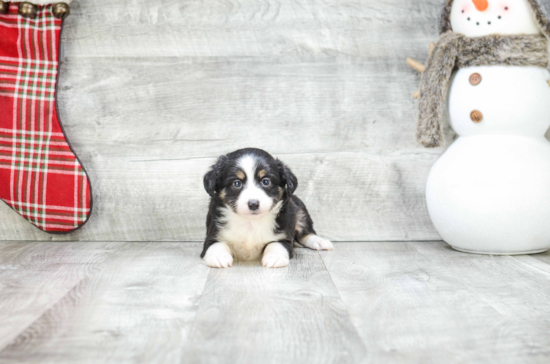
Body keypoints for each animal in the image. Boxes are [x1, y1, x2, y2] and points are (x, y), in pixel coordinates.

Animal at [202, 146, 334, 268]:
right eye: (237, 183)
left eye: (266, 181)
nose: (253, 204)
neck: (251, 223)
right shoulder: (212, 235)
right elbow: (217, 244)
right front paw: (219, 257)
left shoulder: (285, 238)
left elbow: (275, 244)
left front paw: (274, 257)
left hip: (299, 208)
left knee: (306, 232)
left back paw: (320, 241)